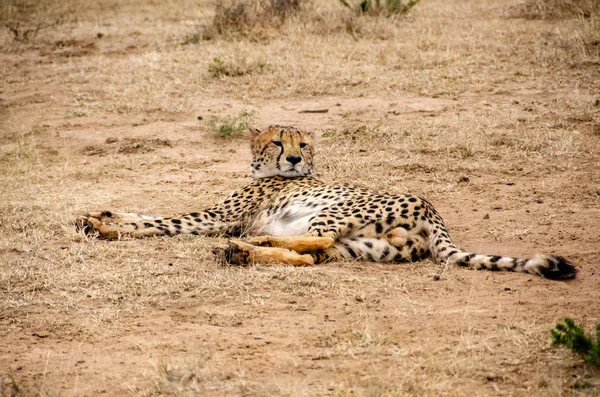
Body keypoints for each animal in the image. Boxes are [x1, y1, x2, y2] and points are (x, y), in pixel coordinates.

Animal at [76, 124, 576, 278]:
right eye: (278, 142)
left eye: (302, 144)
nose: (296, 159)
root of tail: (432, 209)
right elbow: (152, 214)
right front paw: (99, 214)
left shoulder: (218, 216)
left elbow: (163, 220)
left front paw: (103, 223)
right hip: (368, 245)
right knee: (313, 256)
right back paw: (243, 252)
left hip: (331, 212)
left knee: (313, 244)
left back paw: (245, 247)